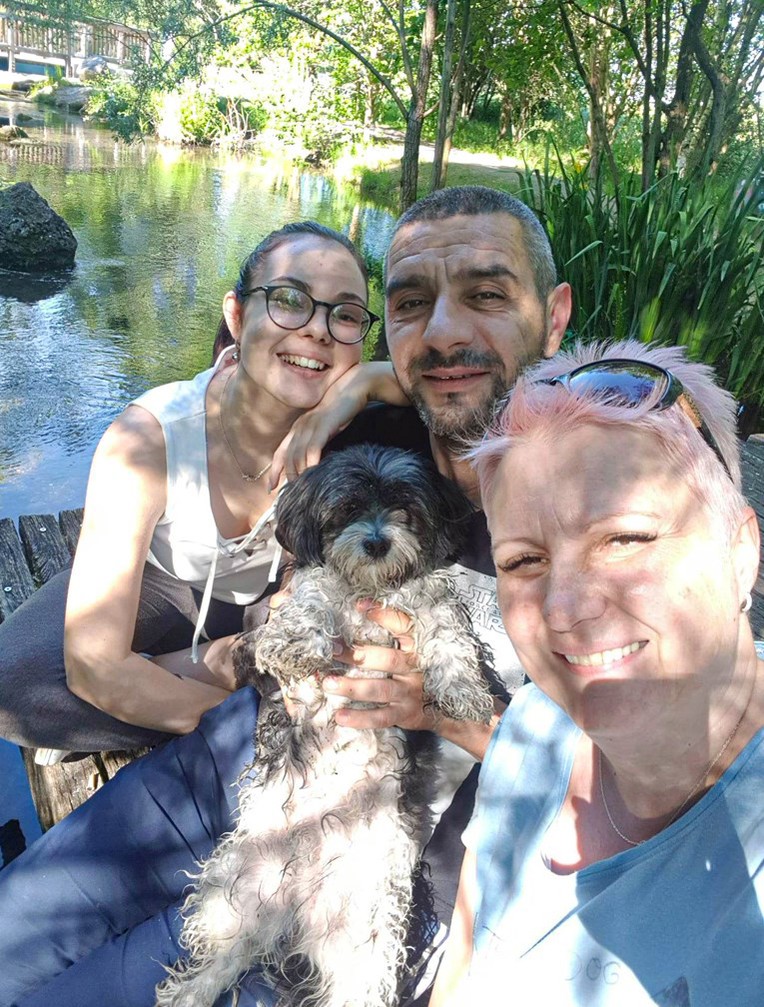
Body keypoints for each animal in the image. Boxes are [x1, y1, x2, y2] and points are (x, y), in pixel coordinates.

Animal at [156, 445, 495, 1007]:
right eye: (349, 507)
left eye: (405, 507)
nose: (376, 542)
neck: (373, 588)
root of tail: (294, 906)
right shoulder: (316, 587)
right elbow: (314, 597)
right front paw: (296, 641)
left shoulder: (429, 600)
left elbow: (448, 633)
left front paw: (463, 688)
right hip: (231, 894)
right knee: (218, 964)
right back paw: (187, 995)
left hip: (366, 936)